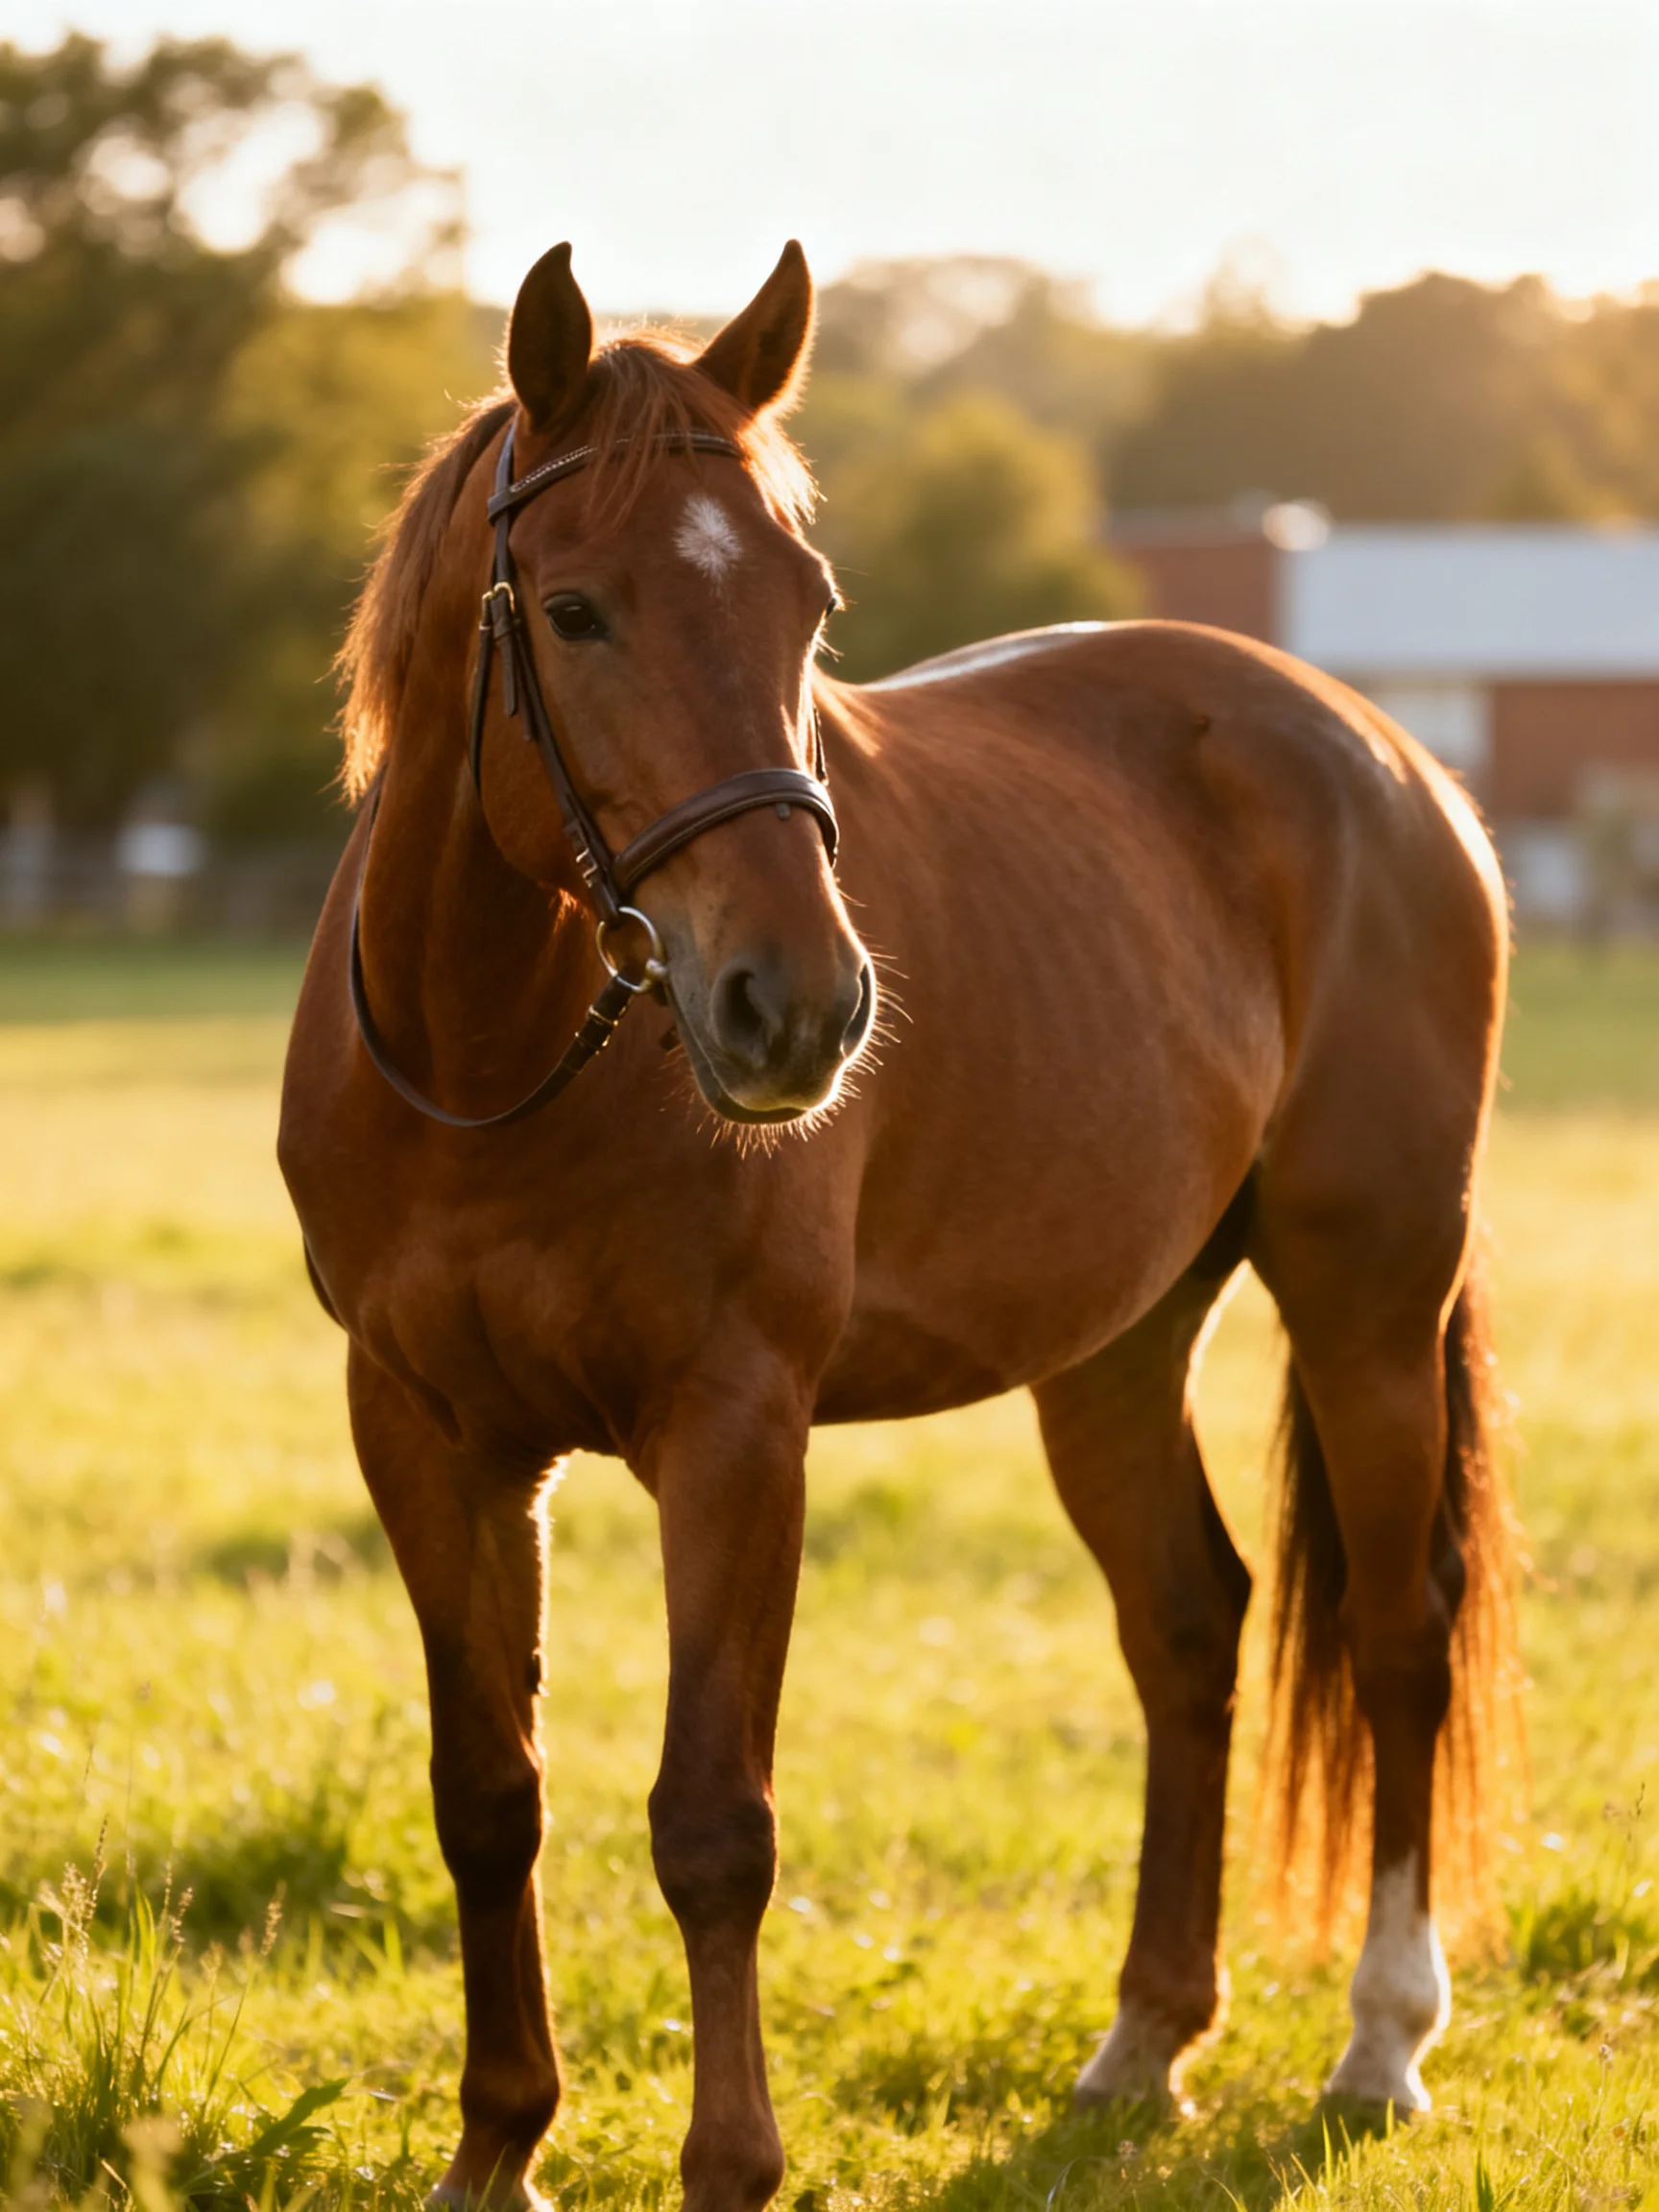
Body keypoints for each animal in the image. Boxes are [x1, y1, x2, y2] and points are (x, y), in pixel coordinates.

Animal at [279, 239, 1517, 2212]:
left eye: (807, 604)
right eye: (575, 611)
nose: (797, 1005)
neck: (488, 1060)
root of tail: (1392, 758)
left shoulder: (732, 1430)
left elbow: (712, 1822)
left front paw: (729, 2161)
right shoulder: (425, 1431)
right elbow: (488, 1793)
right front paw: (498, 2149)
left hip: (1369, 1295)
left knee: (1397, 1629)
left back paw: (1380, 2041)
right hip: (1116, 1348)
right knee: (1189, 1625)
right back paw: (1141, 2045)